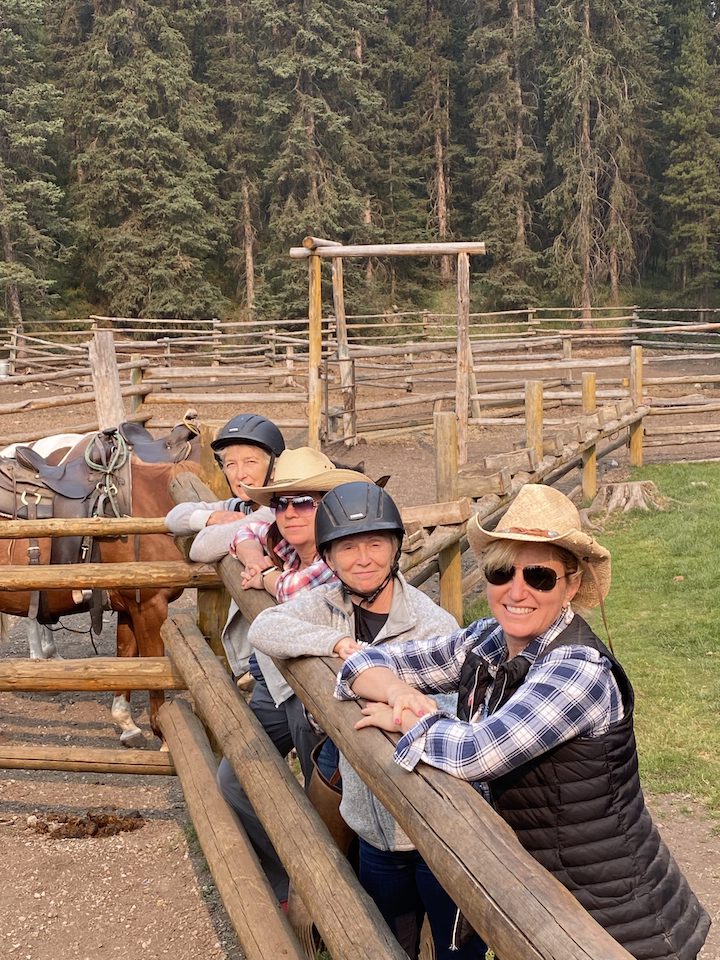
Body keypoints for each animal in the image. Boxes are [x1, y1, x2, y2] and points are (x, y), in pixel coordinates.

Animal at [0, 418, 201, 744]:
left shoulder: (129, 606)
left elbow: (127, 659)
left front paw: (127, 725)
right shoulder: (150, 604)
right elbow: (154, 666)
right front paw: (161, 733)